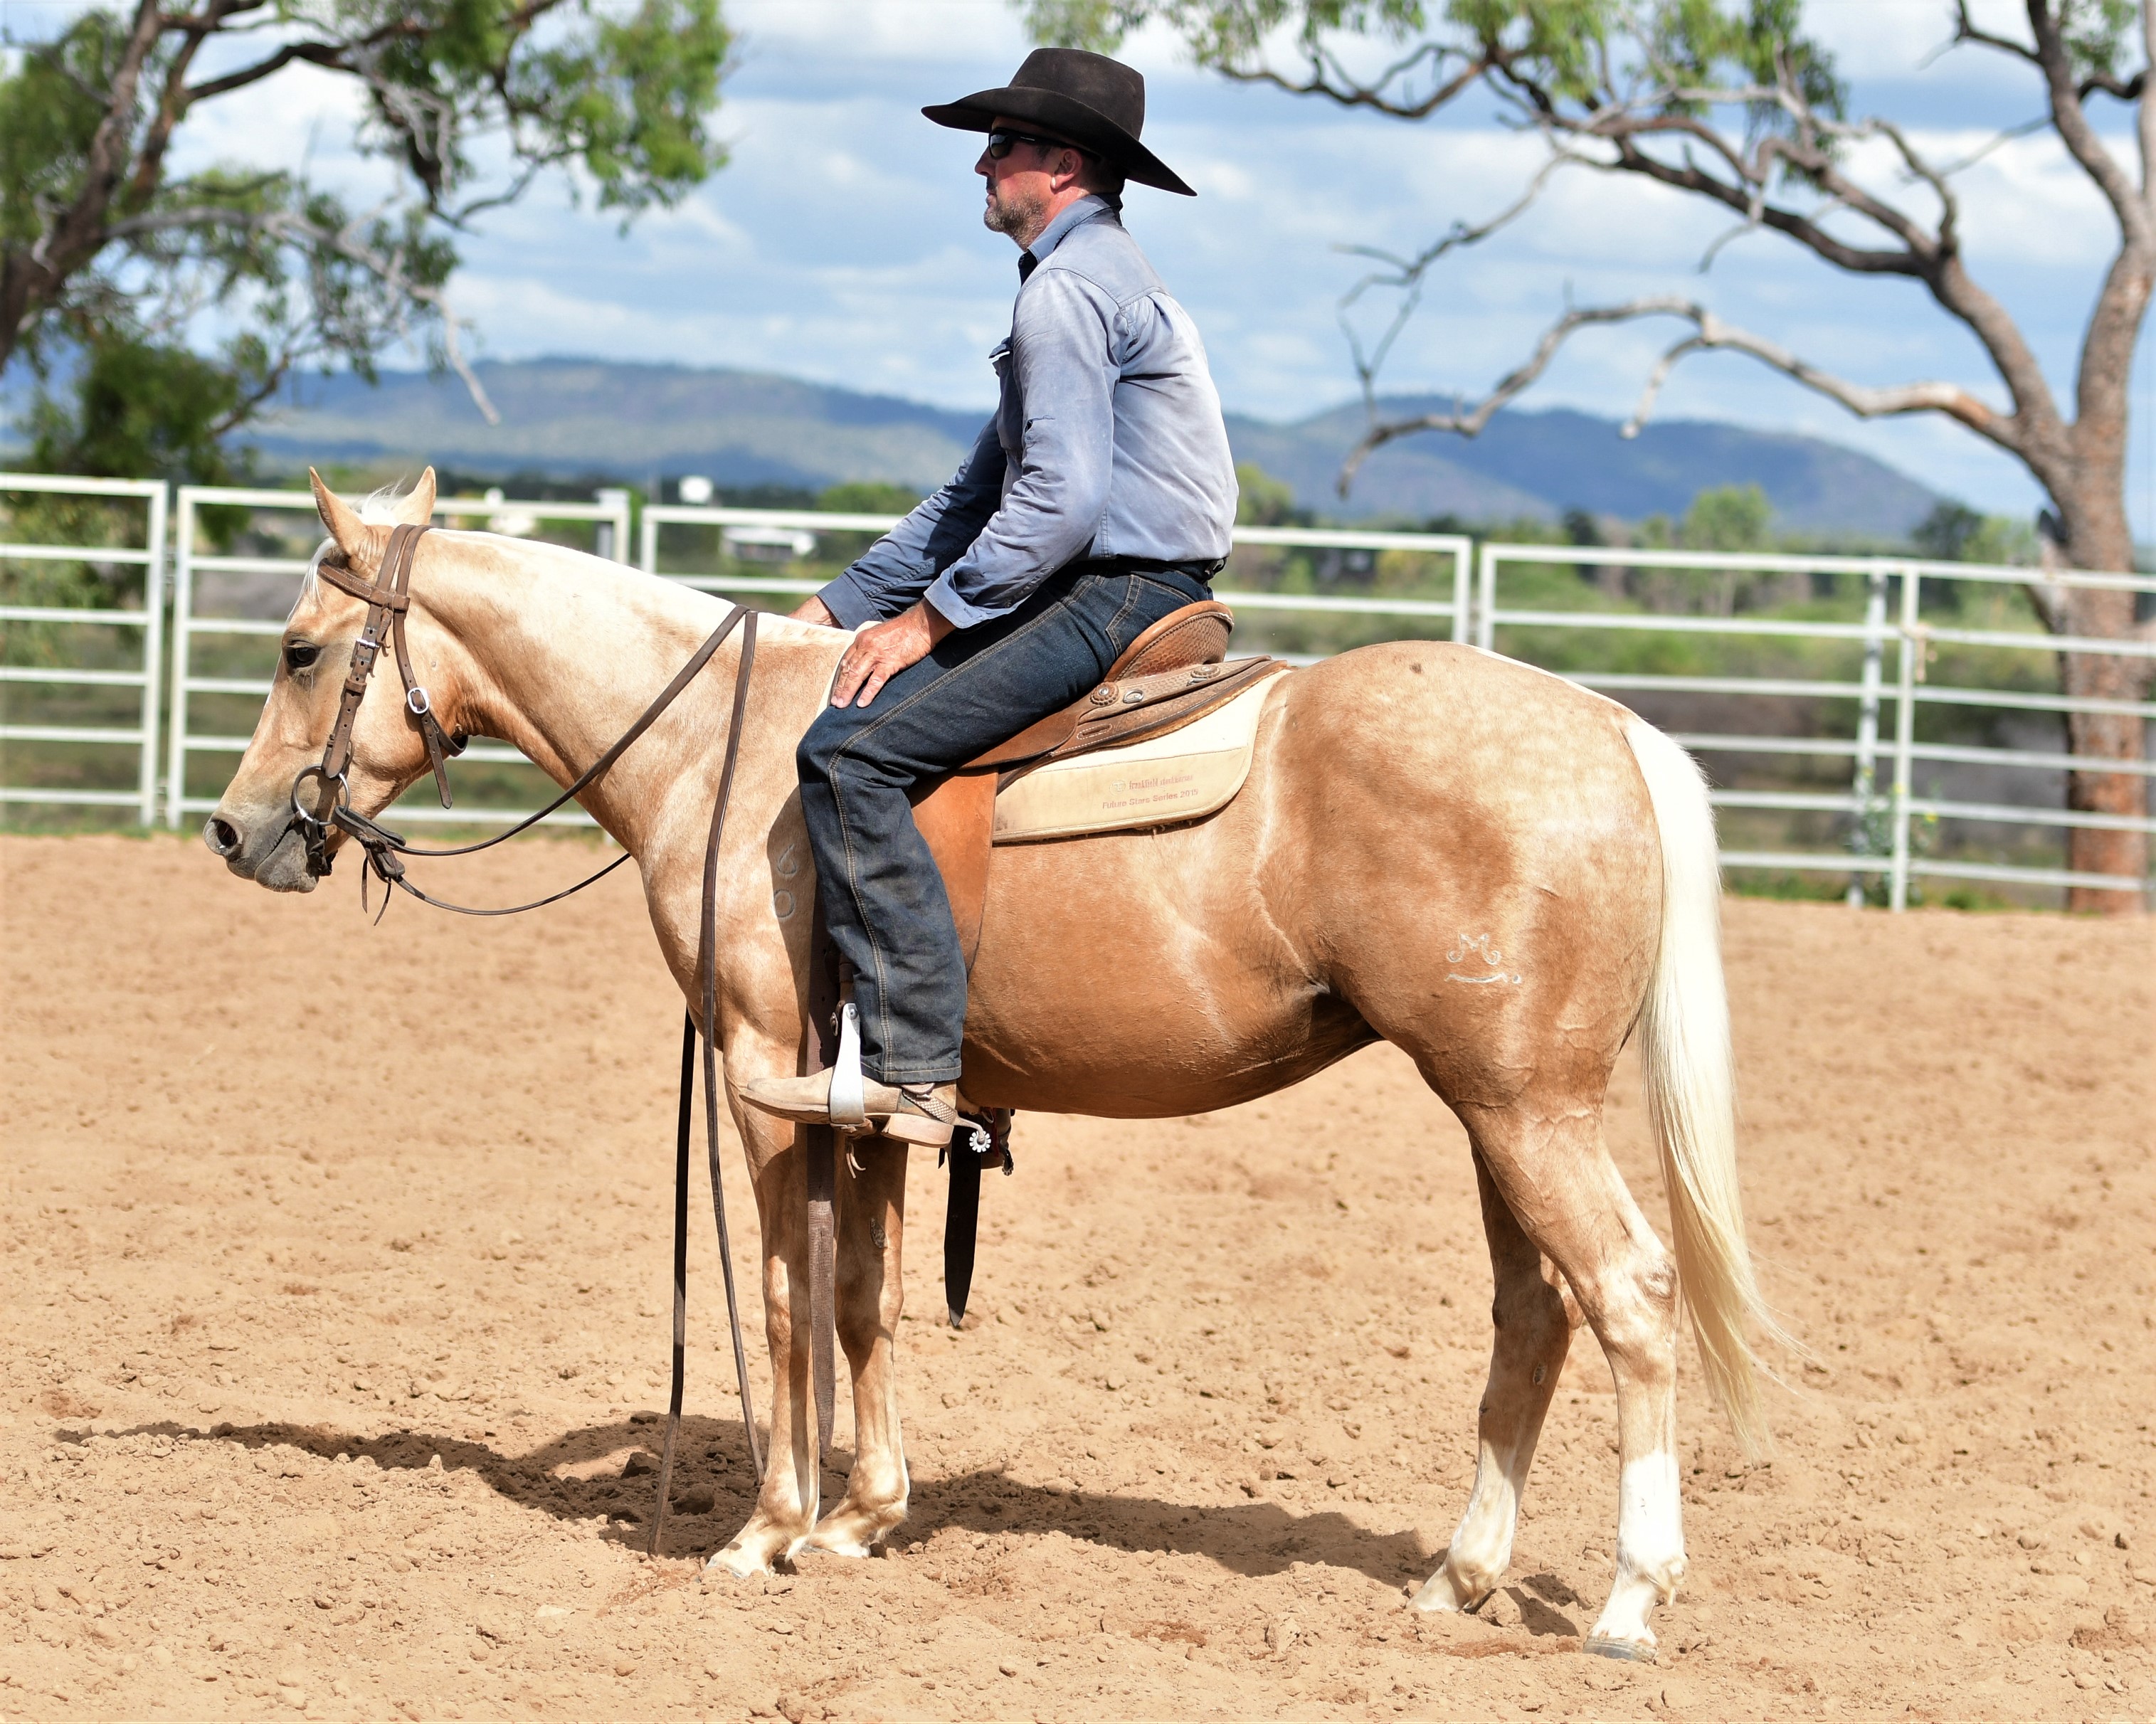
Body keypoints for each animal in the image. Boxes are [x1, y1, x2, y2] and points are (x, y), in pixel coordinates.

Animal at [202, 469, 1782, 1660]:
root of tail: (1612, 729)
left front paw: (767, 1529)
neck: (722, 750)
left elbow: (784, 1297)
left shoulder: (766, 1080)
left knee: (1629, 1292)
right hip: (1498, 1106)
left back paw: (1630, 1599)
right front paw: (863, 1514)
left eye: (297, 648)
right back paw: (1457, 1574)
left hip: (1524, 1107)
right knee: (1536, 1312)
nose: (235, 829)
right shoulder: (883, 1110)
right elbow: (866, 1297)